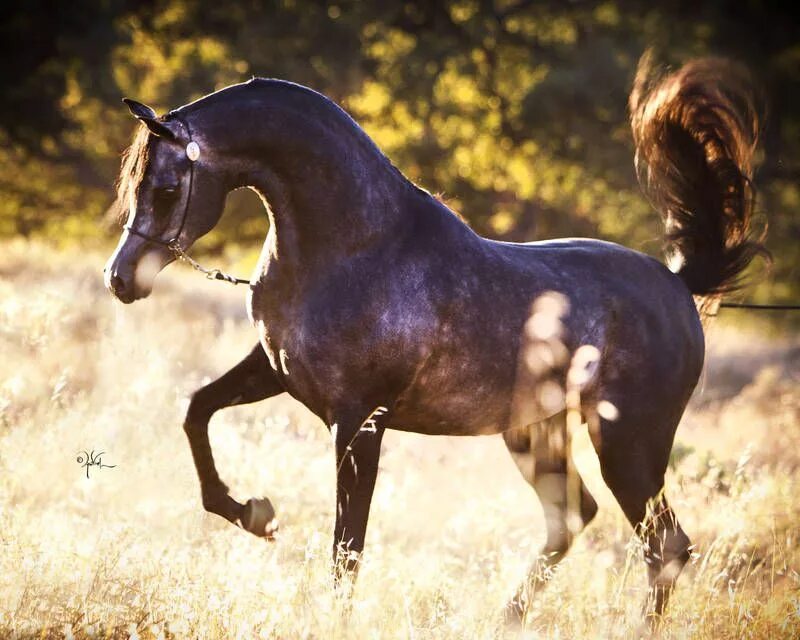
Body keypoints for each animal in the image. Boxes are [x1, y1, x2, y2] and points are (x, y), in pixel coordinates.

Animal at [103, 56, 764, 620]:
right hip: (537, 433)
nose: (120, 279)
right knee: (576, 520)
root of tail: (677, 285)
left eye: (166, 189)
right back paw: (504, 620)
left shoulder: (359, 421)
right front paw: (254, 513)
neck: (353, 248)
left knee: (665, 545)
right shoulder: (274, 372)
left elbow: (347, 549)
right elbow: (196, 411)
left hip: (628, 443)